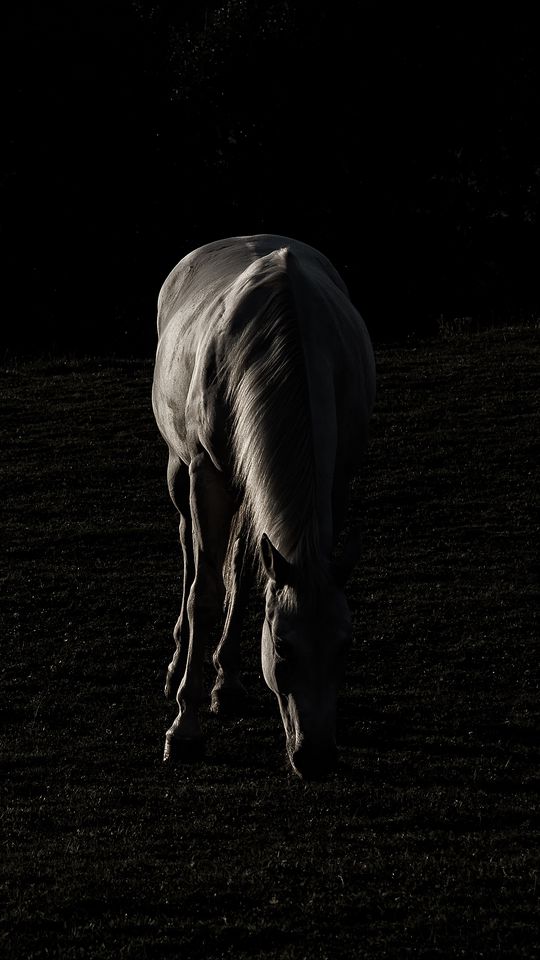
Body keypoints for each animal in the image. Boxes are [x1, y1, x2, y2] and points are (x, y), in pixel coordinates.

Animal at [152, 235, 376, 779]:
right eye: (282, 649)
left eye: (346, 646)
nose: (316, 758)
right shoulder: (206, 476)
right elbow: (205, 593)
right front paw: (184, 730)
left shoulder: (335, 479)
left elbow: (248, 578)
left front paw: (221, 686)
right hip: (180, 471)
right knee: (189, 552)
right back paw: (177, 664)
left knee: (240, 564)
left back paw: (227, 683)